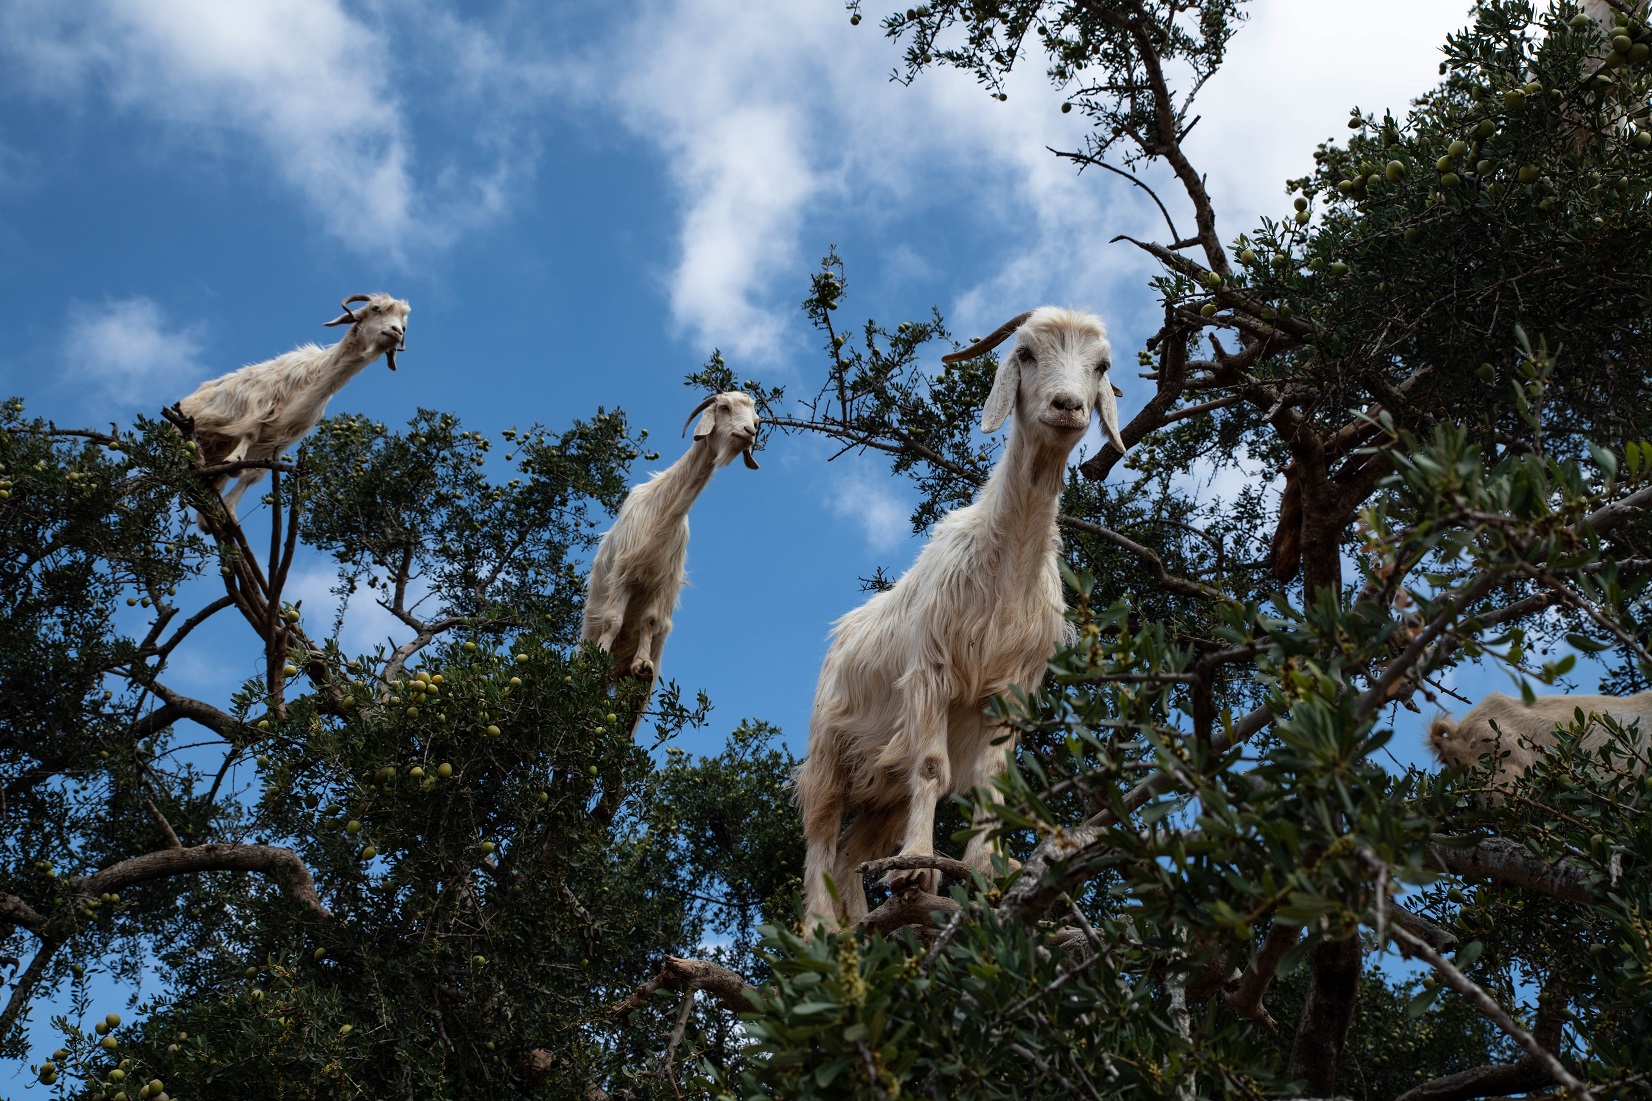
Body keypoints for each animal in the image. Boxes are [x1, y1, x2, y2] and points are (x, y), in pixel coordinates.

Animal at [172, 290, 411, 529]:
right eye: (375, 309)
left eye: (404, 325)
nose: (396, 331)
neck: (315, 375)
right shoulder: (260, 405)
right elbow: (249, 435)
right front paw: (234, 461)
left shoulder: (280, 439)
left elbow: (253, 475)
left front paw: (228, 510)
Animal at [581, 390, 759, 687]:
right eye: (724, 407)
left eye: (756, 420)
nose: (749, 433)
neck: (662, 511)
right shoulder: (624, 572)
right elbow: (613, 619)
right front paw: (599, 657)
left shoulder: (661, 581)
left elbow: (650, 620)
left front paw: (642, 663)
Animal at [792, 302, 1129, 925]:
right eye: (1026, 354)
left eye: (1101, 366)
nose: (1068, 406)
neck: (1004, 571)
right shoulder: (931, 672)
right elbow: (932, 767)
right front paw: (918, 865)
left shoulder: (1011, 689)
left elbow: (993, 784)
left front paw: (982, 869)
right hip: (828, 753)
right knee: (821, 839)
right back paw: (822, 927)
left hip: (884, 788)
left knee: (852, 854)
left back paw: (865, 923)